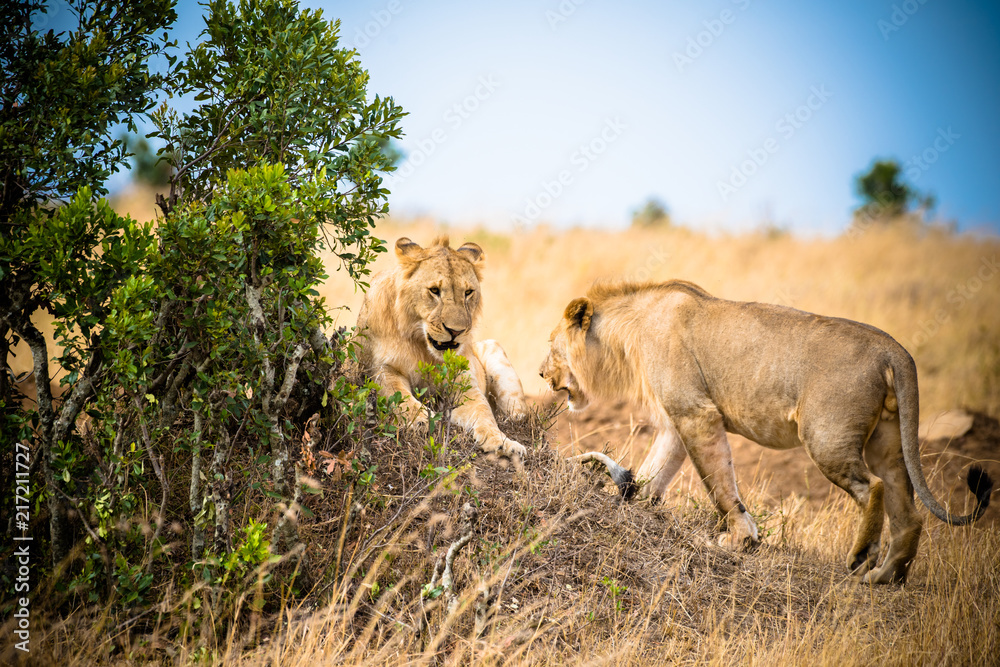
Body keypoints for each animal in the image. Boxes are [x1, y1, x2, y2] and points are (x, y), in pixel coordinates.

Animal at [356, 237, 528, 460]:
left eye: (468, 292)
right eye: (434, 291)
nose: (456, 331)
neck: (423, 347)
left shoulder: (463, 384)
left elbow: (483, 412)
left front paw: (502, 442)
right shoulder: (380, 368)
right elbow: (397, 394)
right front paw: (420, 419)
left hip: (493, 348)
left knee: (516, 413)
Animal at [540, 279, 993, 584]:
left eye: (550, 346)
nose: (541, 373)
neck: (629, 328)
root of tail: (894, 350)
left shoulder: (696, 413)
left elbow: (720, 483)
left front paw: (739, 540)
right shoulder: (676, 419)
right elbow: (655, 475)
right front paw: (629, 500)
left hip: (826, 436)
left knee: (874, 487)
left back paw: (861, 556)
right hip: (886, 439)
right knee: (908, 510)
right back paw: (885, 578)